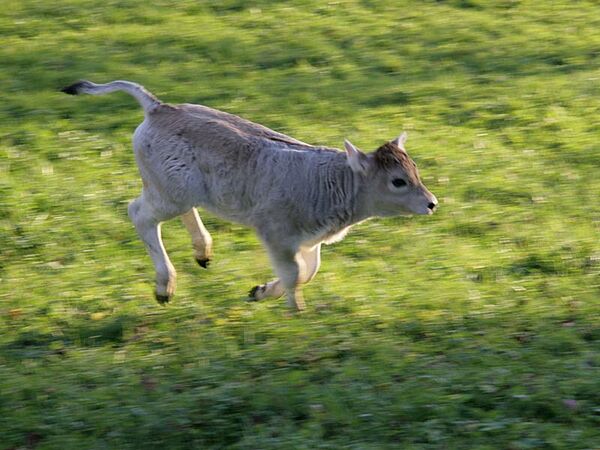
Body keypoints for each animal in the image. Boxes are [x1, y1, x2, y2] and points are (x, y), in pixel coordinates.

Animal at [62, 80, 436, 310]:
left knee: (179, 212)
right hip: (168, 194)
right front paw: (297, 311)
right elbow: (295, 273)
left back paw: (203, 251)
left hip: (176, 189)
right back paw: (165, 286)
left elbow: (309, 270)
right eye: (398, 181)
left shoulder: (309, 239)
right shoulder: (276, 231)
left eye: (416, 170)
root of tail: (159, 107)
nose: (432, 202)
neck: (332, 181)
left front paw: (261, 293)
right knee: (139, 214)